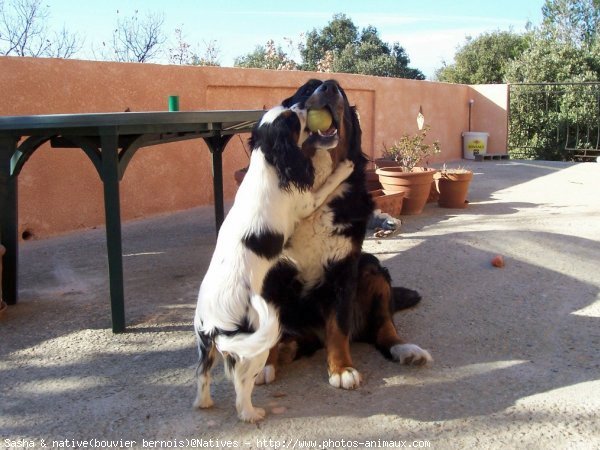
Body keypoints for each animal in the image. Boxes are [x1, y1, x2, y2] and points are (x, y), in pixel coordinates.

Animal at [192, 103, 354, 422]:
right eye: (292, 119)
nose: (302, 105)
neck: (266, 161)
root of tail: (215, 324)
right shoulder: (306, 202)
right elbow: (327, 183)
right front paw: (345, 168)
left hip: (207, 346)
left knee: (203, 376)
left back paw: (204, 403)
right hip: (255, 345)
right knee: (242, 386)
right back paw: (252, 413)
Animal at [258, 79, 432, 388]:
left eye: (340, 90)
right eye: (307, 90)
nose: (329, 86)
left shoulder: (343, 269)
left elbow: (338, 328)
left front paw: (341, 369)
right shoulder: (272, 274)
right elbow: (270, 330)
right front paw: (266, 363)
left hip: (372, 269)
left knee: (382, 329)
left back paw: (406, 349)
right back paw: (286, 349)